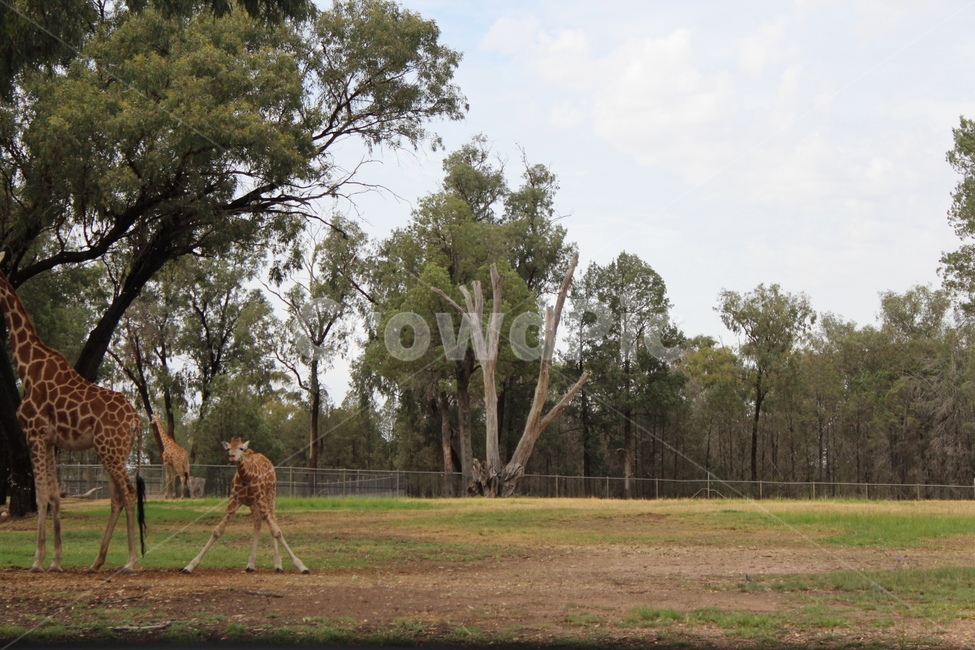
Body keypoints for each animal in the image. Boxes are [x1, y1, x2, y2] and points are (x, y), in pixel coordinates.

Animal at [0, 251, 146, 573]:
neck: (27, 367)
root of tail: (136, 421)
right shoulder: (50, 440)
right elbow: (55, 495)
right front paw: (56, 560)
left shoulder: (35, 434)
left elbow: (42, 495)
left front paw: (37, 560)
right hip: (113, 451)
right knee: (117, 498)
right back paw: (96, 561)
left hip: (110, 450)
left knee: (128, 494)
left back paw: (130, 562)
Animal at [181, 437, 309, 574]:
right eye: (228, 448)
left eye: (241, 448)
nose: (232, 457)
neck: (246, 477)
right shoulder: (234, 501)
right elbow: (217, 531)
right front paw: (189, 566)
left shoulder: (260, 499)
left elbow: (276, 531)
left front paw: (301, 566)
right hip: (253, 504)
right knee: (257, 523)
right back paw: (251, 564)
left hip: (271, 494)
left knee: (273, 519)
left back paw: (278, 565)